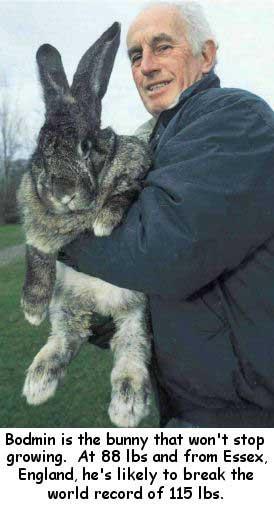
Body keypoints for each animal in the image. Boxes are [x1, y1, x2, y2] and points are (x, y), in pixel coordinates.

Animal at [17, 22, 152, 426]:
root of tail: (97, 307)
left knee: (131, 348)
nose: (62, 193)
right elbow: (38, 257)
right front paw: (32, 309)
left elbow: (123, 191)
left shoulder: (135, 168)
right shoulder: (36, 229)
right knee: (65, 339)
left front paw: (105, 221)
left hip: (137, 313)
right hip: (67, 308)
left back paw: (127, 402)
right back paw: (38, 382)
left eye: (87, 146)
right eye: (41, 147)